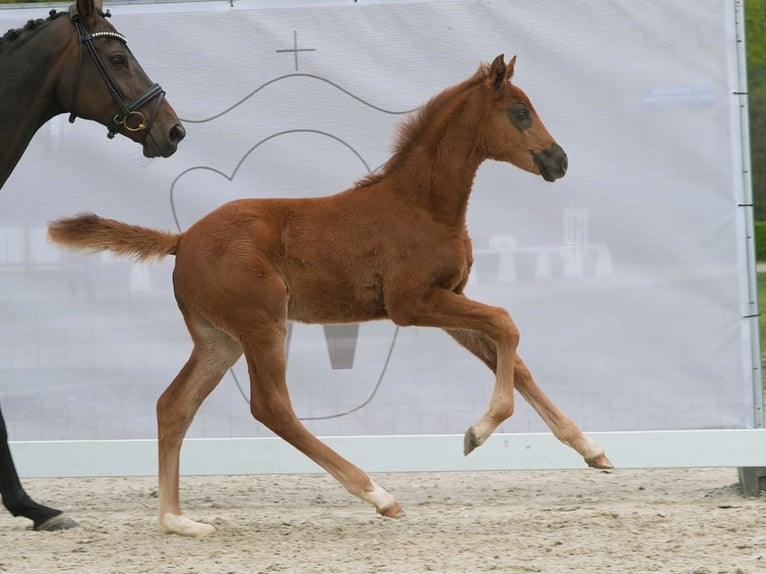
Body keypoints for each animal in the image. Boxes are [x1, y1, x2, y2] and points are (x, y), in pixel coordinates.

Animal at [48, 54, 616, 540]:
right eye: (520, 112)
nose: (559, 160)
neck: (422, 205)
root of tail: (182, 240)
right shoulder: (411, 304)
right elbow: (506, 323)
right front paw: (476, 433)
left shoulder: (449, 298)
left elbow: (513, 360)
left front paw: (592, 451)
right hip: (263, 324)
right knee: (271, 407)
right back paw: (378, 494)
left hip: (218, 339)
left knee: (174, 405)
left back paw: (176, 520)